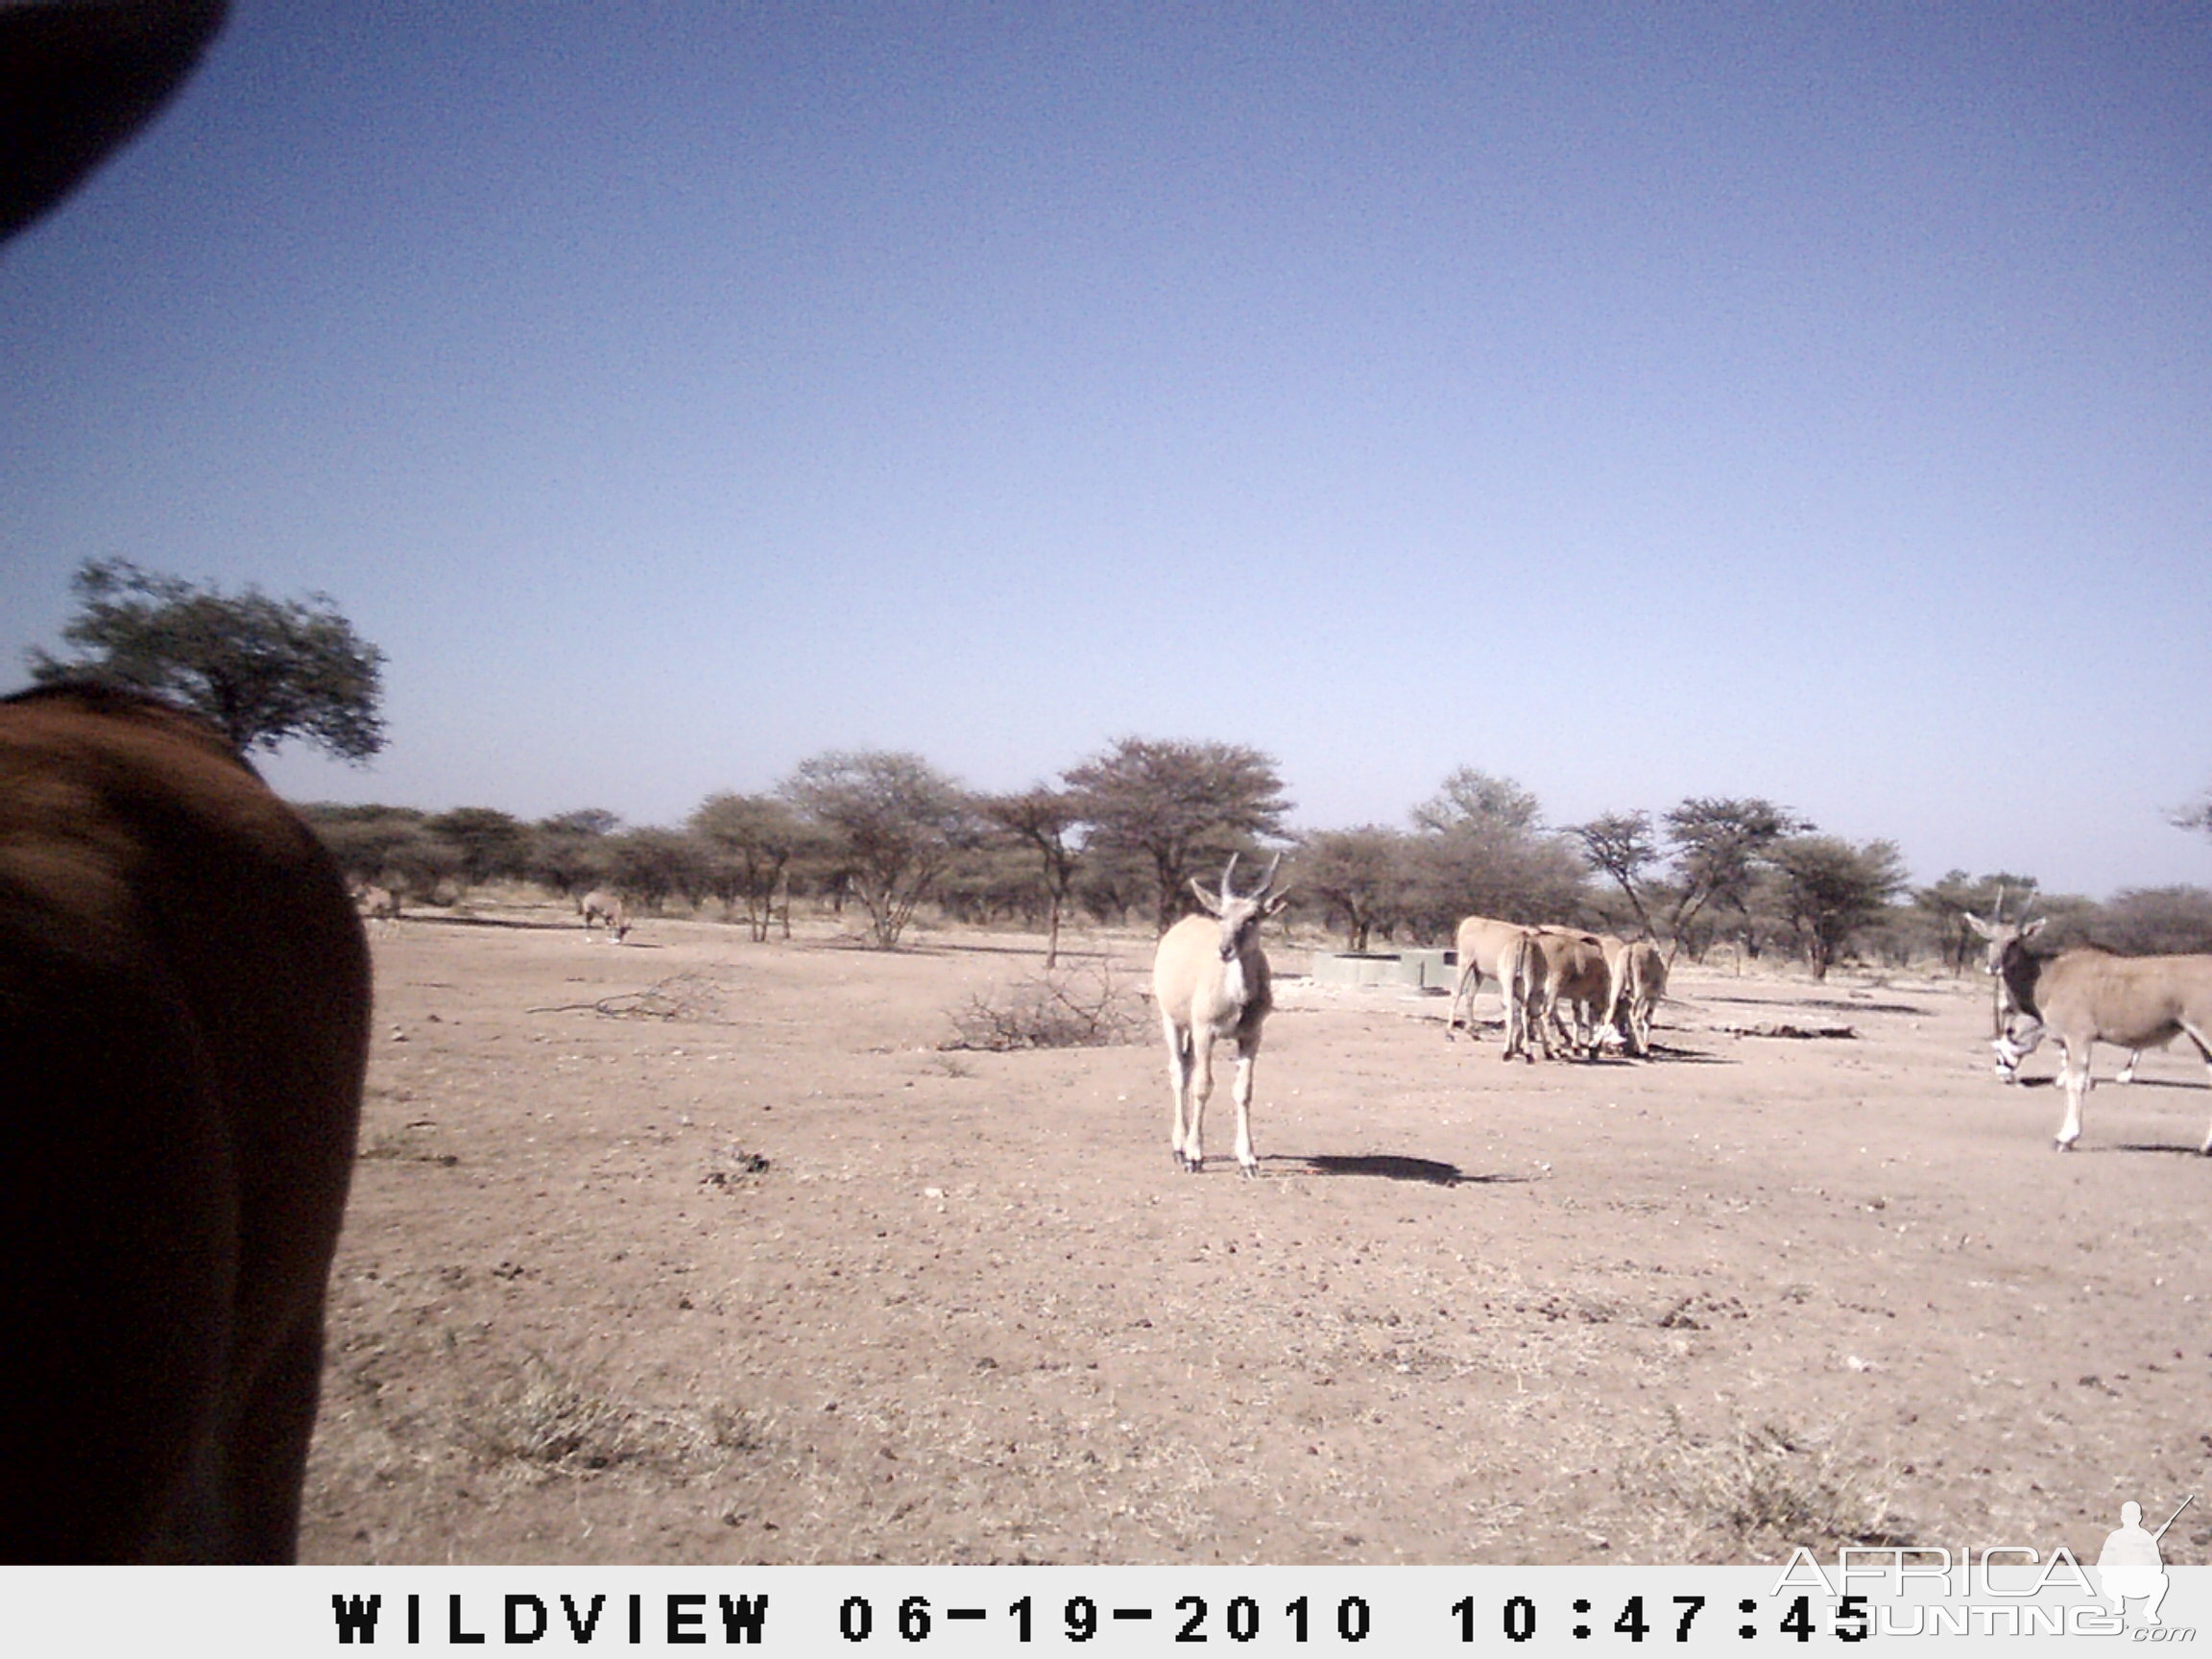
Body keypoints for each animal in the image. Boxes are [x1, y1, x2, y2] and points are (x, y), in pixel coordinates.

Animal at [1150, 862, 1291, 1176]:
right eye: (1222, 916)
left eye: (1252, 917)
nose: (1225, 949)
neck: (1237, 996)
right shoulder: (1206, 1031)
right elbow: (1203, 1086)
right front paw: (1194, 1156)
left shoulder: (1251, 1036)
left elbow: (1243, 1091)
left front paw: (1248, 1160)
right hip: (1172, 1022)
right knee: (1180, 1072)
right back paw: (1179, 1148)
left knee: (1187, 1067)